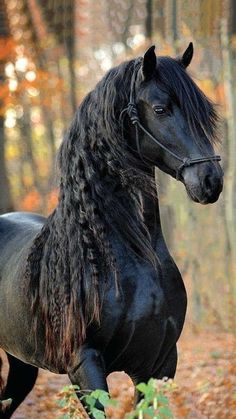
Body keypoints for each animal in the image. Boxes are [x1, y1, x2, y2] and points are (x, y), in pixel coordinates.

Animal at [0, 42, 223, 416]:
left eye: (206, 113)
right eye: (160, 109)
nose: (211, 182)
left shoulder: (159, 365)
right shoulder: (85, 366)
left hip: (21, 363)